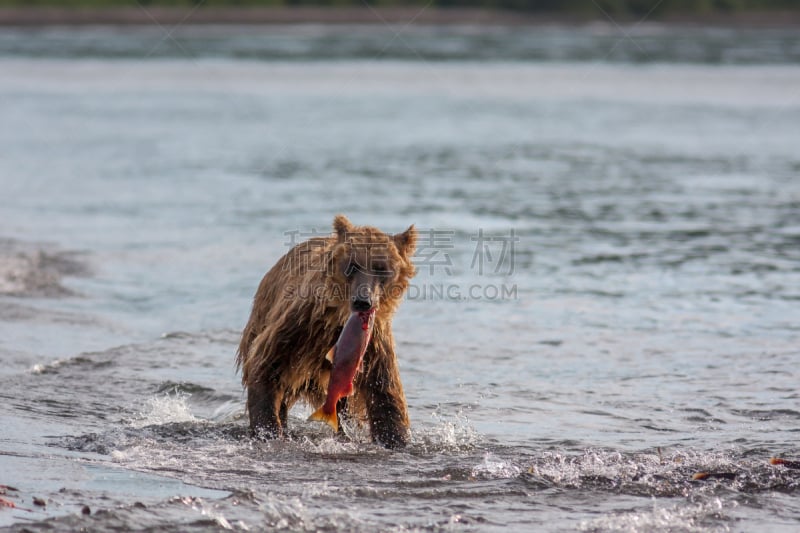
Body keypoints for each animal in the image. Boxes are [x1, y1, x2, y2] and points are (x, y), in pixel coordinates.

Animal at [234, 214, 416, 446]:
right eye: (352, 265)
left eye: (381, 268)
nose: (362, 301)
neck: (339, 319)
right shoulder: (300, 325)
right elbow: (266, 366)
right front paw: (269, 430)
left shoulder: (375, 344)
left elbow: (386, 394)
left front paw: (397, 438)